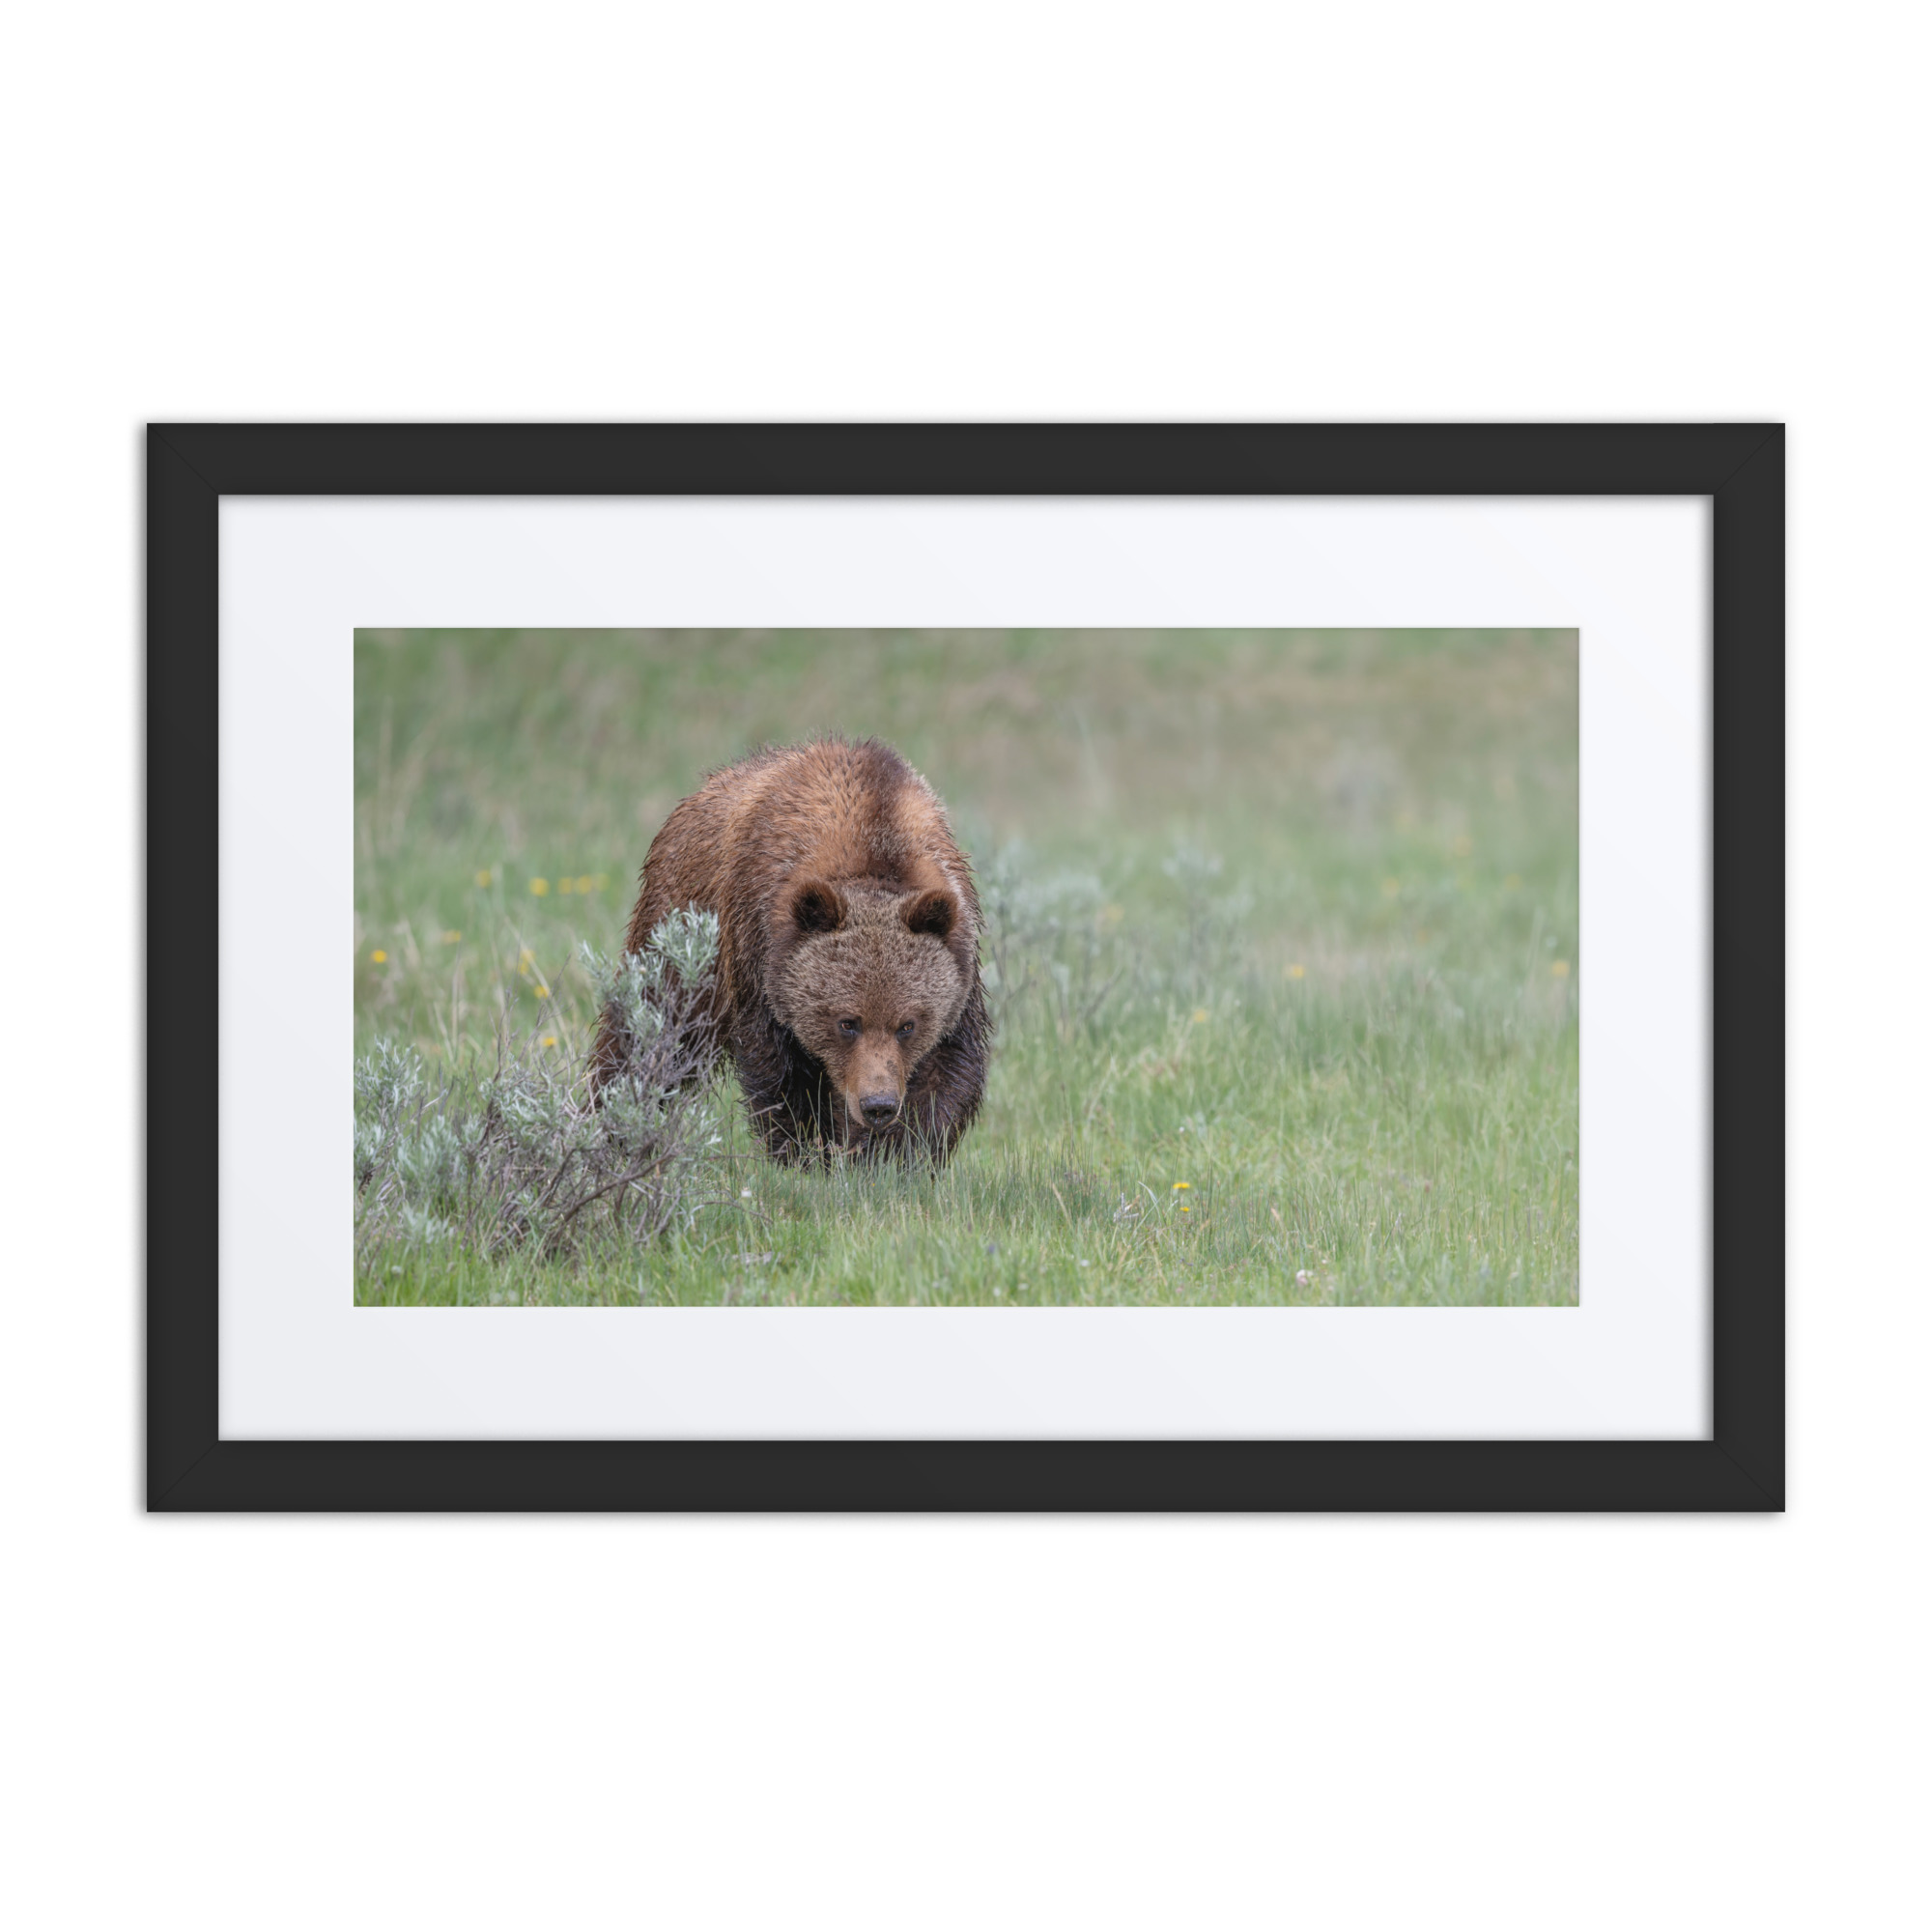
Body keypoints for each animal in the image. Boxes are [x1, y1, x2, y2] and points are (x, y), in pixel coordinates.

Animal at [591, 737, 991, 1166]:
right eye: (847, 1022)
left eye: (907, 1025)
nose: (878, 1105)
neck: (875, 841)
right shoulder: (758, 951)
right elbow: (781, 1073)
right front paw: (807, 1152)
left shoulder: (959, 961)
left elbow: (946, 1072)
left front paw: (893, 1156)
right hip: (680, 932)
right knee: (649, 1031)